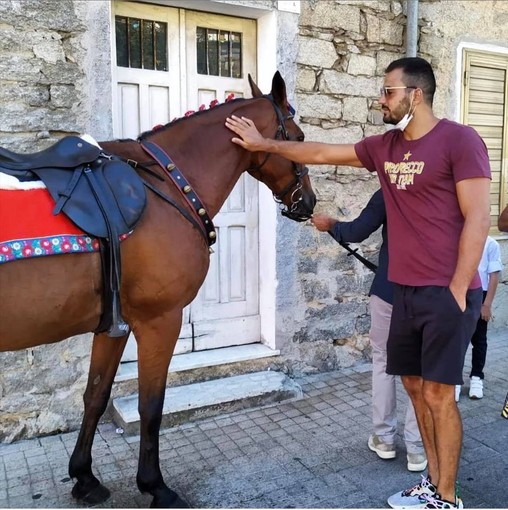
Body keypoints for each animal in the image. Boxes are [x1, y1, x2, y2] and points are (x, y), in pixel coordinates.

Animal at [0, 71, 316, 506]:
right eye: (298, 137)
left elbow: (95, 395)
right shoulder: (159, 321)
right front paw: (155, 485)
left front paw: (84, 476)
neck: (167, 184)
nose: (309, 202)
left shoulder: (113, 325)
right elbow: (151, 407)